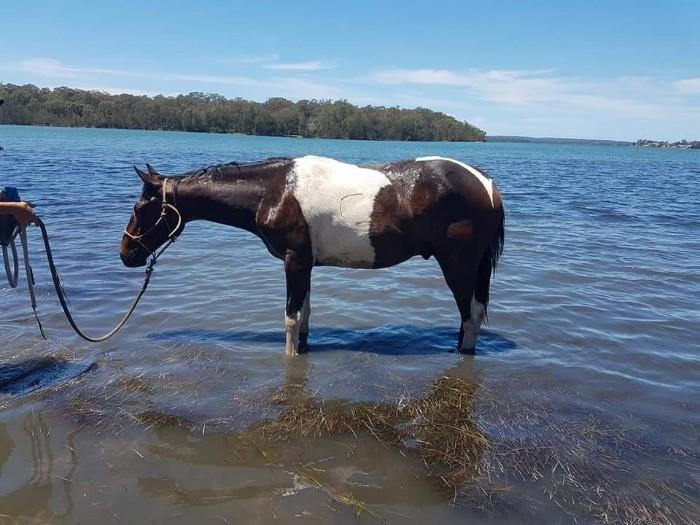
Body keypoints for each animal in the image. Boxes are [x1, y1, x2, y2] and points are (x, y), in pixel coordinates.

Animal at [120, 155, 505, 355]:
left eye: (139, 209)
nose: (126, 254)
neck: (273, 190)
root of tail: (486, 184)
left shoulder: (295, 260)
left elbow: (291, 318)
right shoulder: (305, 264)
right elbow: (304, 313)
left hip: (458, 266)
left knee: (470, 316)